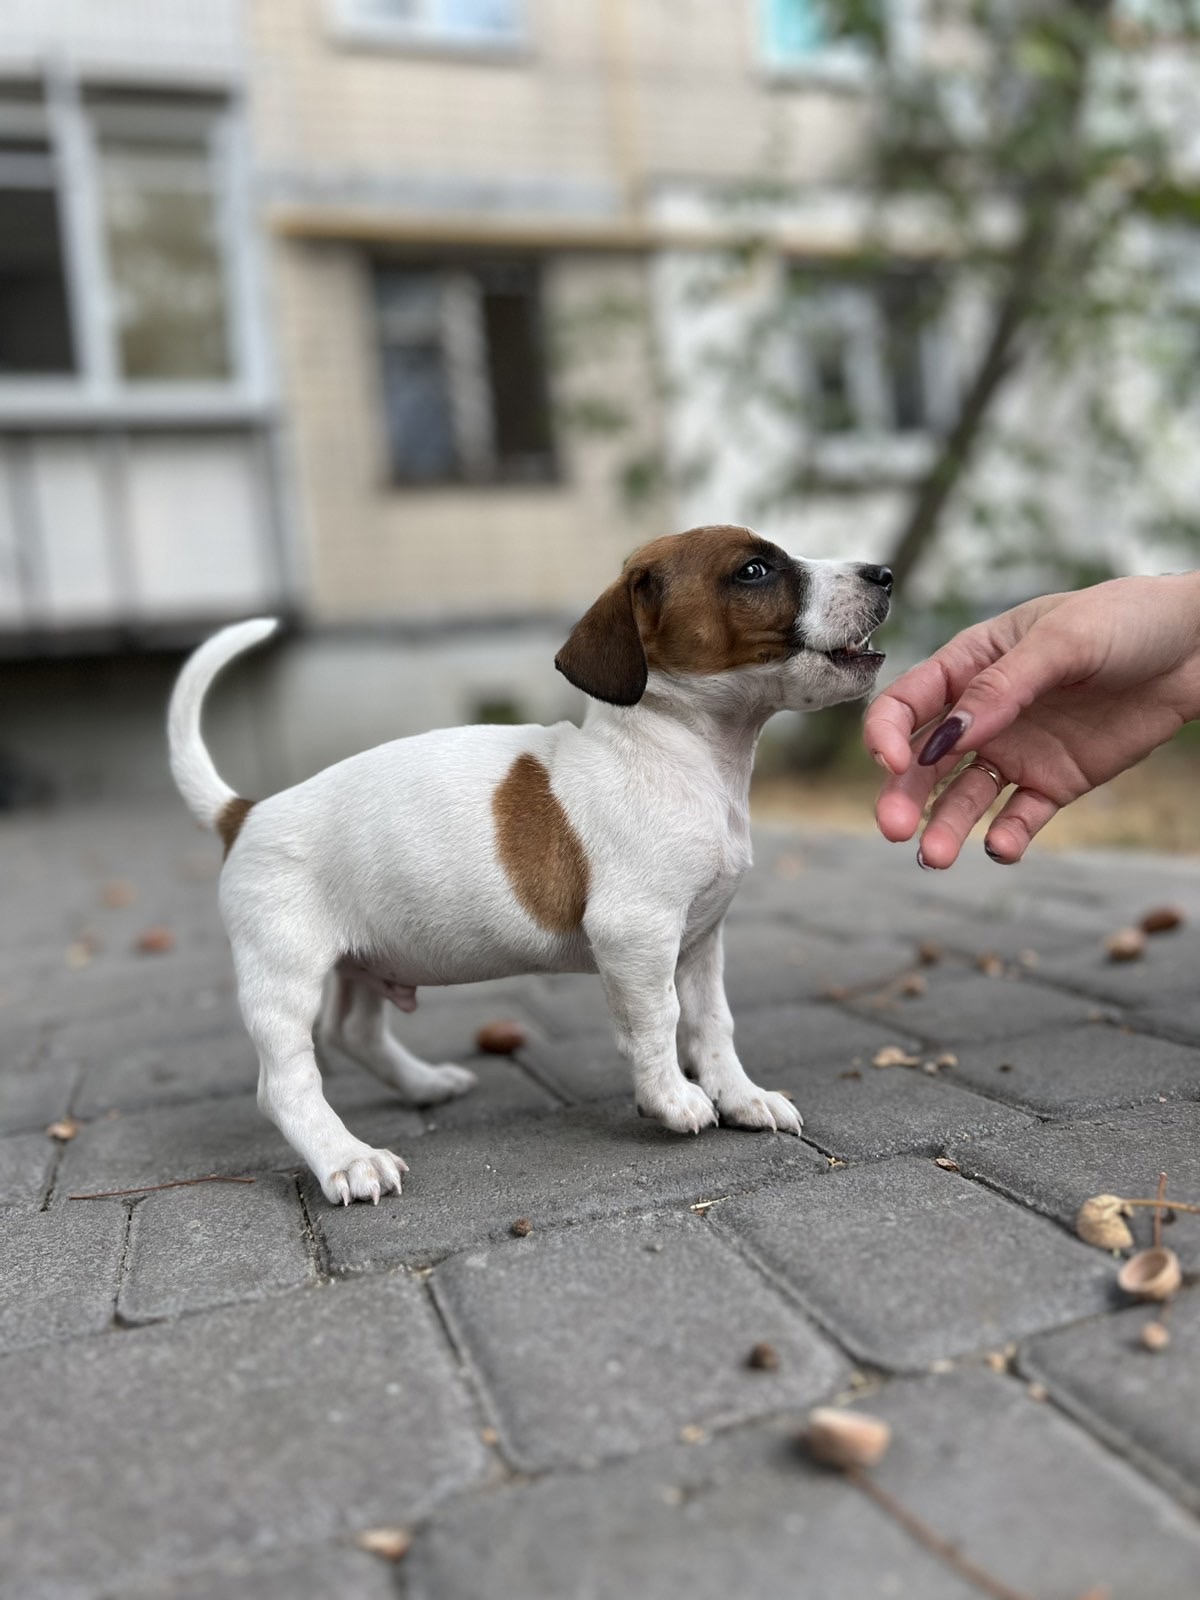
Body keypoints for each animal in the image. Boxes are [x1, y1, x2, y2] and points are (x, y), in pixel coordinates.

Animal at [169, 524, 896, 1203]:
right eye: (754, 570)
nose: (884, 573)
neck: (679, 752)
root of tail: (246, 813)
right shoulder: (636, 934)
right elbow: (657, 1021)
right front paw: (671, 1100)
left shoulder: (700, 942)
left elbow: (713, 1024)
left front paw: (740, 1096)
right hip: (284, 975)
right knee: (286, 1082)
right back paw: (348, 1159)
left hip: (363, 959)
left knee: (351, 1032)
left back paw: (424, 1085)